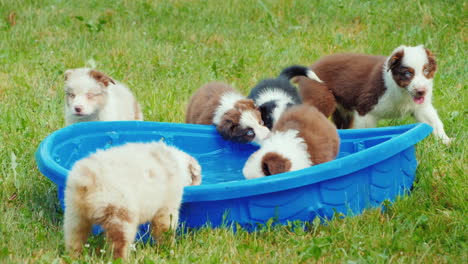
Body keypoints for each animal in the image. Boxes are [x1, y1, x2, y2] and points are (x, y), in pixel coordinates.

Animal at [304, 44, 450, 144]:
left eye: (426, 71)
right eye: (407, 73)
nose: (421, 91)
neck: (401, 91)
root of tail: (312, 66)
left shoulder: (421, 107)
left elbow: (435, 122)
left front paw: (446, 142)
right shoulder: (365, 110)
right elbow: (364, 132)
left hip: (343, 110)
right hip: (321, 97)